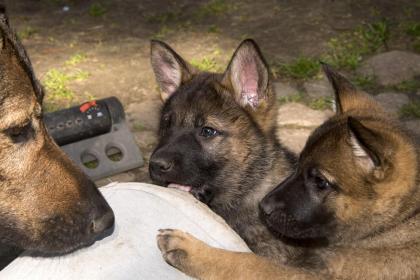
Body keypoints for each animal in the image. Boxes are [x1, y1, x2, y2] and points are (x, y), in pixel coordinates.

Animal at [156, 64, 420, 278]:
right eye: (299, 163)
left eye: (320, 182)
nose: (264, 208)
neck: (400, 219)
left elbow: (249, 263)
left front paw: (193, 250)